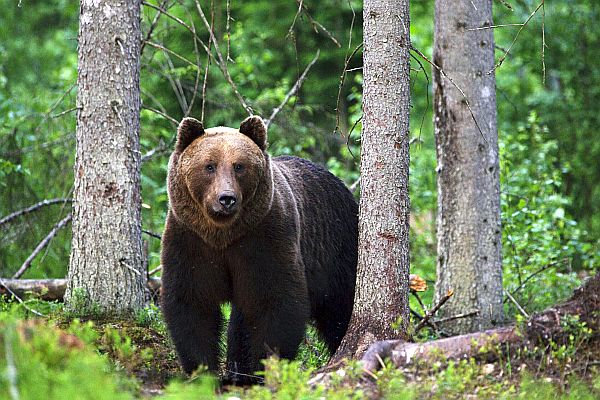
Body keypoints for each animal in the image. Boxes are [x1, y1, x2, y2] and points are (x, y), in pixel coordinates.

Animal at [159, 115, 356, 384]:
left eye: (239, 166)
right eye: (209, 166)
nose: (226, 198)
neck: (223, 234)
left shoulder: (265, 238)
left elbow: (274, 301)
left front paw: (264, 367)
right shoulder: (190, 241)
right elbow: (192, 302)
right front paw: (202, 371)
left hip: (336, 249)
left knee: (340, 308)